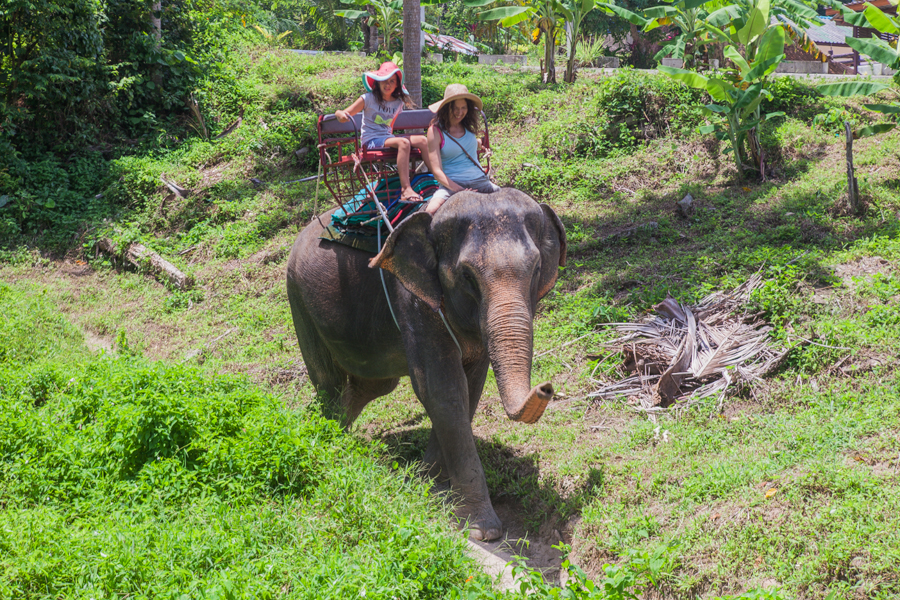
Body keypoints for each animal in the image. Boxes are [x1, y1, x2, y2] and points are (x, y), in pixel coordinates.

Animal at [284, 186, 568, 540]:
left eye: (537, 268)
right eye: (466, 276)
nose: (546, 388)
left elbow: (470, 390)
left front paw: (426, 486)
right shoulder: (413, 299)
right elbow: (442, 390)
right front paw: (482, 530)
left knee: (373, 384)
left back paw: (339, 434)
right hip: (298, 295)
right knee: (328, 382)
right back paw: (326, 438)